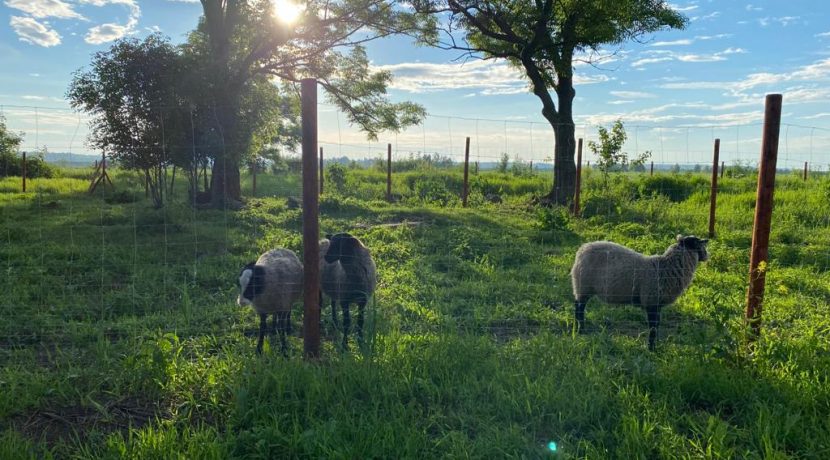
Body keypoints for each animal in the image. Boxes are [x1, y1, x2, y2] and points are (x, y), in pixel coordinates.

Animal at [568, 235, 712, 350]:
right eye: (697, 243)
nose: (707, 255)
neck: (665, 267)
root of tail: (582, 249)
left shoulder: (657, 304)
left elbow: (657, 325)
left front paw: (655, 345)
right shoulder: (651, 301)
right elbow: (653, 327)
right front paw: (651, 348)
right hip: (583, 285)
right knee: (579, 308)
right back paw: (581, 330)